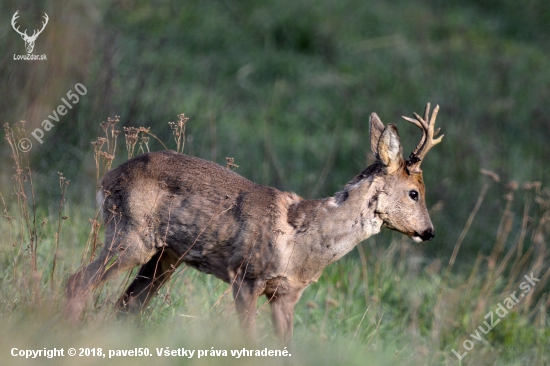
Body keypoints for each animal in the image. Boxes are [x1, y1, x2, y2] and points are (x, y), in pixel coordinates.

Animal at [64, 101, 444, 342]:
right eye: (414, 192)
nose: (429, 232)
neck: (302, 243)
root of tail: (106, 179)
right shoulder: (246, 276)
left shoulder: (287, 294)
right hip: (131, 235)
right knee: (78, 282)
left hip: (165, 255)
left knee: (126, 305)